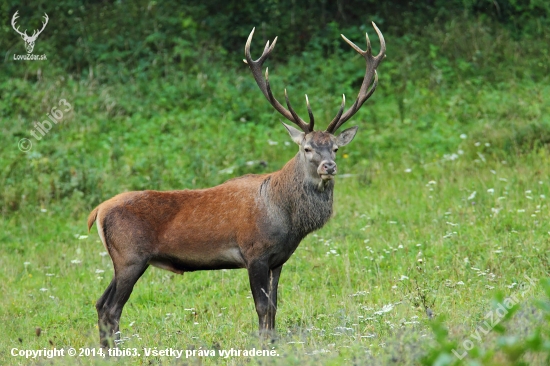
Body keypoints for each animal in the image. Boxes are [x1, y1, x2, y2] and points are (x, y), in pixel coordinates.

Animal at [87, 21, 388, 348]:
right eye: (307, 148)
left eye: (334, 147)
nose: (329, 166)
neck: (286, 217)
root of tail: (98, 212)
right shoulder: (254, 252)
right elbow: (262, 306)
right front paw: (263, 345)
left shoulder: (278, 259)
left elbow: (275, 306)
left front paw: (273, 343)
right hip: (131, 257)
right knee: (112, 307)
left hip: (122, 260)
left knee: (101, 304)